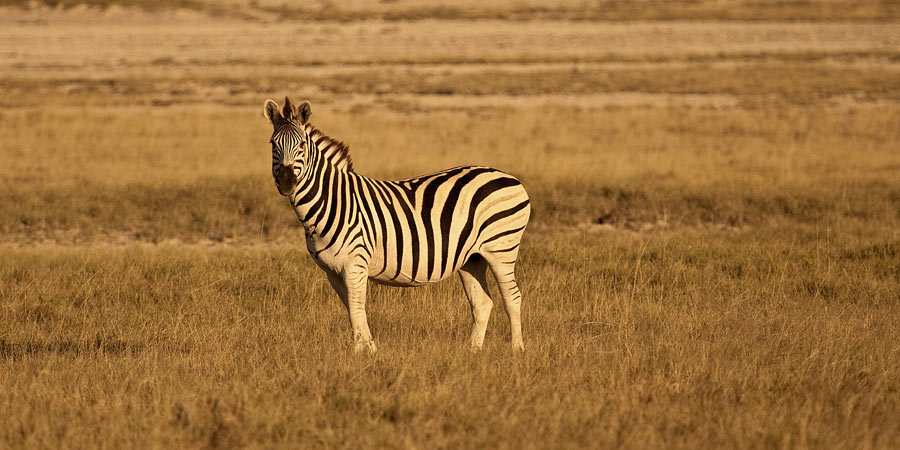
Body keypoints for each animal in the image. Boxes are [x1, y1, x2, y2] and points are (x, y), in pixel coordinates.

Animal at [264, 97, 531, 353]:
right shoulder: (332, 271)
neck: (333, 201)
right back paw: (473, 352)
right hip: (472, 258)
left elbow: (357, 308)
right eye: (272, 144)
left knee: (512, 298)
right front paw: (370, 349)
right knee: (482, 303)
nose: (287, 182)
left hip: (501, 249)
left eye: (301, 145)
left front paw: (360, 353)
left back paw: (517, 350)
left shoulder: (355, 265)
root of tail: (509, 176)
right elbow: (351, 310)